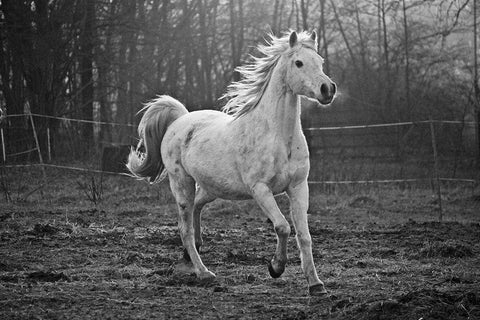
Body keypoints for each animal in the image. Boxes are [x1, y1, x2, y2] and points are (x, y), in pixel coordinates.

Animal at [127, 30, 338, 296]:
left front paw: (316, 284)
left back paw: (192, 252)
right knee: (185, 227)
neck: (279, 137)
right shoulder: (260, 189)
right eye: (298, 62)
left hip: (212, 187)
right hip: (182, 183)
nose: (327, 89)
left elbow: (304, 235)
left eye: (320, 61)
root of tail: (180, 120)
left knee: (196, 208)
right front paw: (275, 267)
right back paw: (204, 272)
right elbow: (282, 227)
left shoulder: (299, 187)